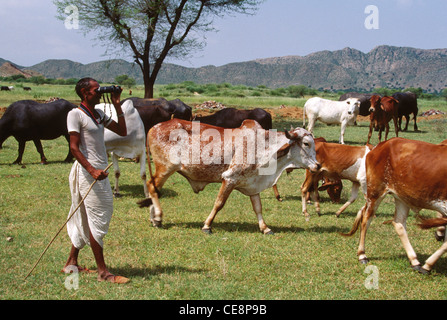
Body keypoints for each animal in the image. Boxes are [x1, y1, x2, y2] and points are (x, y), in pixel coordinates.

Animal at [138, 119, 320, 234]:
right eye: (306, 144)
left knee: (153, 189)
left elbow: (258, 207)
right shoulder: (229, 178)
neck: (264, 146)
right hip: (165, 168)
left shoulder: (253, 184)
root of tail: (154, 127)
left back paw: (153, 218)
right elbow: (219, 203)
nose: (317, 166)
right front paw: (207, 226)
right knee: (152, 186)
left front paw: (265, 228)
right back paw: (158, 217)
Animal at [344, 136, 447, 274]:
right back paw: (362, 255)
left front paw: (427, 265)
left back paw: (414, 261)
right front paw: (428, 265)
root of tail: (382, 144)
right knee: (366, 219)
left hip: (402, 197)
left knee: (399, 223)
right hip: (375, 192)